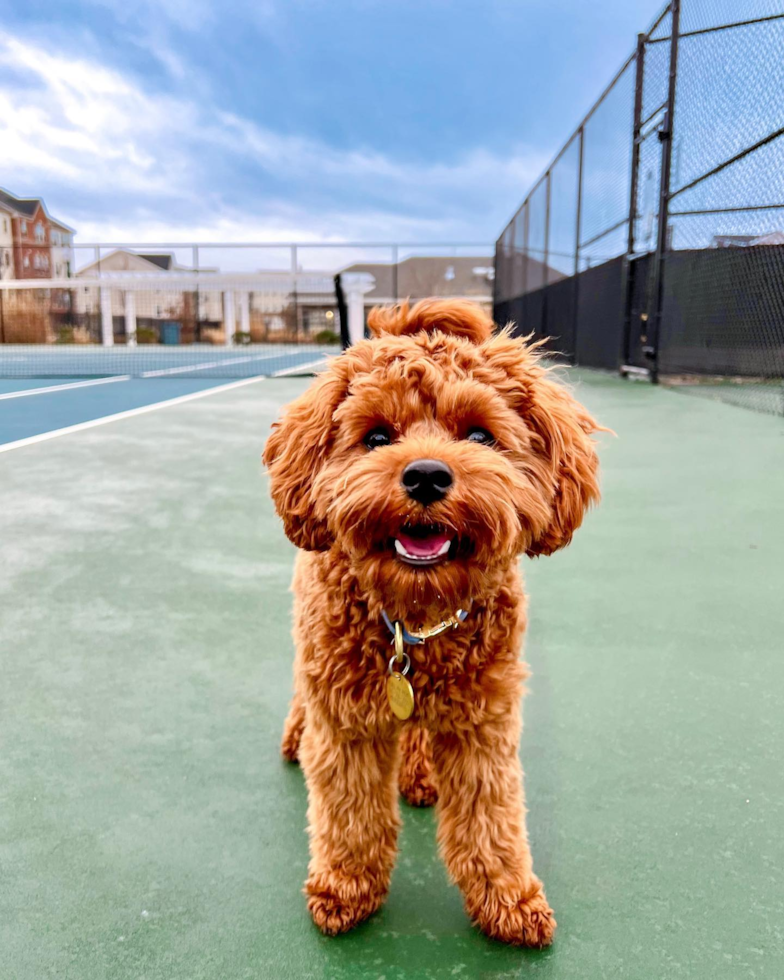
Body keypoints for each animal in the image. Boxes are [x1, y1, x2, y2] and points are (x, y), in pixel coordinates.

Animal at [264, 300, 600, 948]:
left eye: (479, 435)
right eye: (376, 437)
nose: (425, 475)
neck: (417, 619)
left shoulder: (485, 723)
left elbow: (491, 816)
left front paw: (509, 897)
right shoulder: (345, 719)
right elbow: (350, 811)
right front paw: (346, 886)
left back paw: (419, 771)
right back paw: (296, 736)